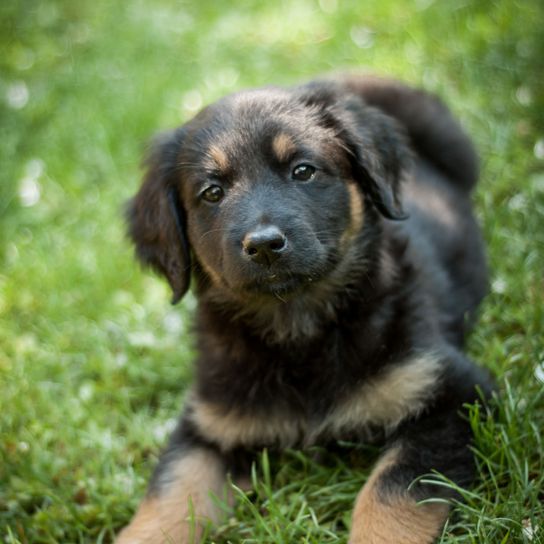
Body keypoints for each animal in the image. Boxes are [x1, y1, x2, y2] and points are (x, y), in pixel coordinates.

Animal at [118, 76, 492, 544]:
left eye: (302, 171)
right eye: (212, 192)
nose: (263, 245)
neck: (299, 332)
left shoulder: (452, 392)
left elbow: (390, 494)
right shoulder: (210, 425)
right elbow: (169, 495)